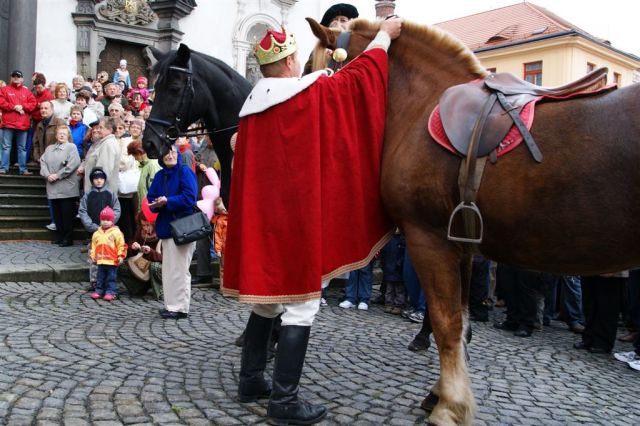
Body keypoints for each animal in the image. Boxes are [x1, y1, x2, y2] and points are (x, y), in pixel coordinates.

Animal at [308, 18, 640, 424]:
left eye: (312, 68)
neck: (420, 105)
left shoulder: (428, 238)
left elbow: (446, 321)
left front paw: (450, 405)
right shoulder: (462, 243)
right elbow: (461, 320)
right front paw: (441, 392)